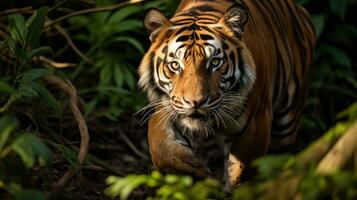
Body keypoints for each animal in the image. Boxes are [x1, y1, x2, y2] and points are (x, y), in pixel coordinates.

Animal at [136, 0, 314, 188]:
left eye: (215, 62)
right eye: (175, 65)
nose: (195, 102)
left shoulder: (257, 121)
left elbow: (241, 170)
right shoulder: (166, 106)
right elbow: (159, 146)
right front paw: (190, 166)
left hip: (287, 123)